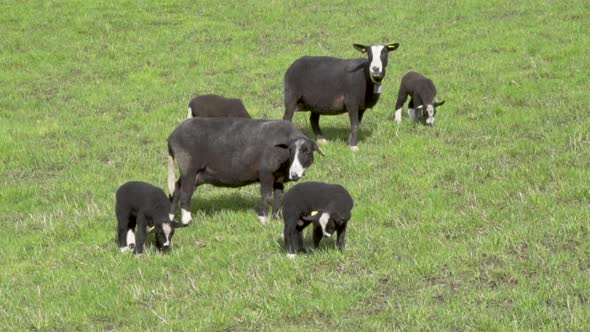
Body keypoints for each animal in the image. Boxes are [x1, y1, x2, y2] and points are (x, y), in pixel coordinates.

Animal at [166, 116, 324, 226]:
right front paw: (263, 220)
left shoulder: (278, 178)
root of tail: (172, 137)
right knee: (185, 194)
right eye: (290, 151)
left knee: (176, 189)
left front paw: (277, 218)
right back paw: (188, 221)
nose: (294, 174)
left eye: (307, 152)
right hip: (189, 167)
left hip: (197, 174)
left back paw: (170, 218)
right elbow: (266, 196)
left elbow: (279, 196)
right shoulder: (266, 173)